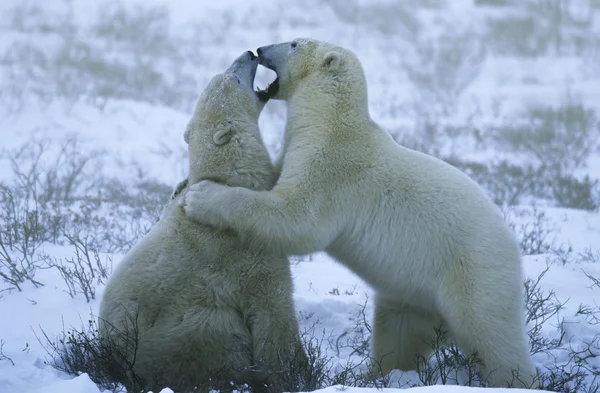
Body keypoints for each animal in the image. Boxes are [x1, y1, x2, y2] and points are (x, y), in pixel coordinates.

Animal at [99, 50, 304, 390]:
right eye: (234, 78)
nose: (249, 53)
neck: (228, 180)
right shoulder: (245, 252)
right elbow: (272, 311)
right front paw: (293, 373)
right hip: (185, 331)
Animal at [183, 38, 540, 388]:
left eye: (295, 43)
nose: (260, 49)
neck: (331, 123)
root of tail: (513, 247)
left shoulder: (331, 167)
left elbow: (297, 218)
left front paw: (199, 196)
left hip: (474, 274)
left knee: (492, 335)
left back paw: (512, 378)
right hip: (413, 294)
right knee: (397, 332)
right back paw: (373, 374)